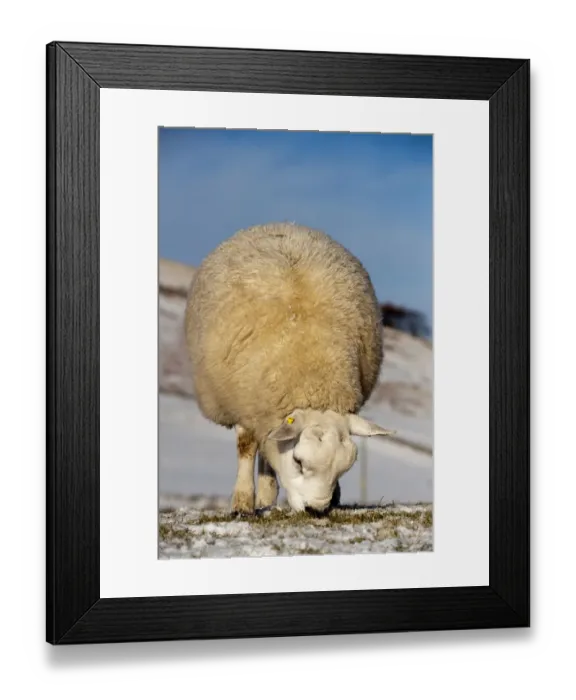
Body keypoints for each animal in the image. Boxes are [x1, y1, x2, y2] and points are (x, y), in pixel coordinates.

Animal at [184, 222, 396, 515]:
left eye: (342, 470)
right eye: (298, 462)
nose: (316, 509)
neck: (312, 378)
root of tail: (282, 223)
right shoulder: (245, 401)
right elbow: (246, 447)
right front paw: (242, 502)